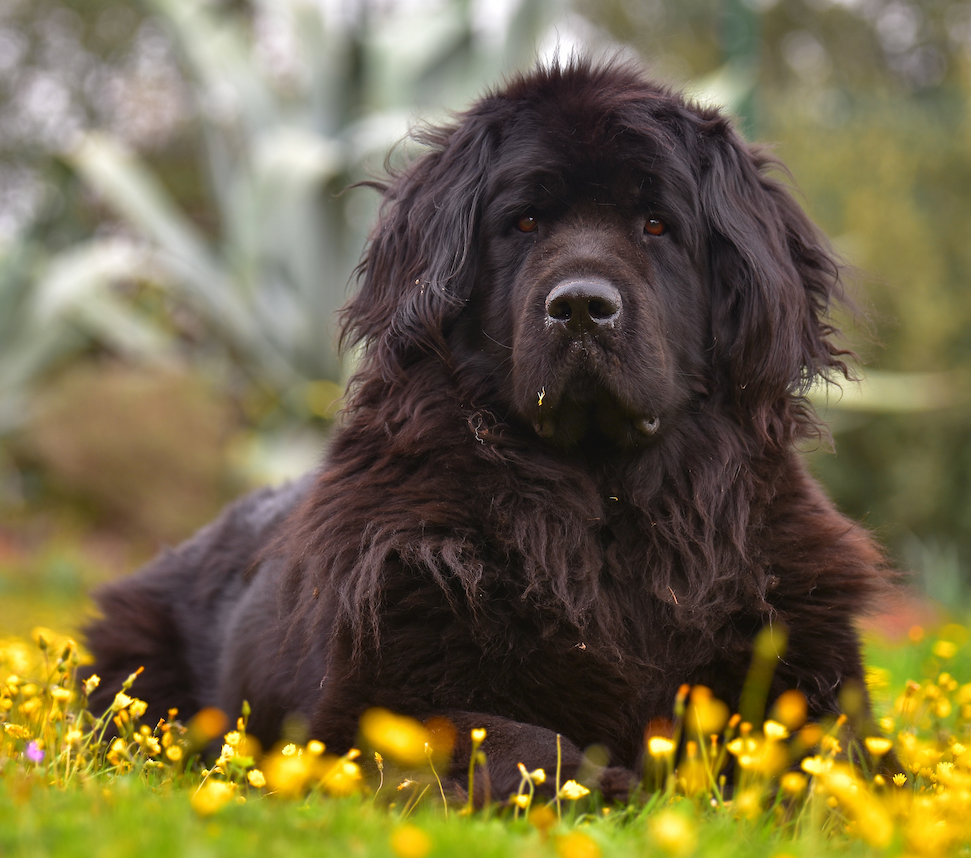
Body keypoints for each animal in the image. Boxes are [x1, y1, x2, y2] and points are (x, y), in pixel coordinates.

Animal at [87, 60, 892, 796]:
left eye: (657, 225)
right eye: (525, 222)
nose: (580, 306)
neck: (606, 511)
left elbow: (838, 760)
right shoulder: (363, 705)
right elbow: (514, 739)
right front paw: (614, 786)